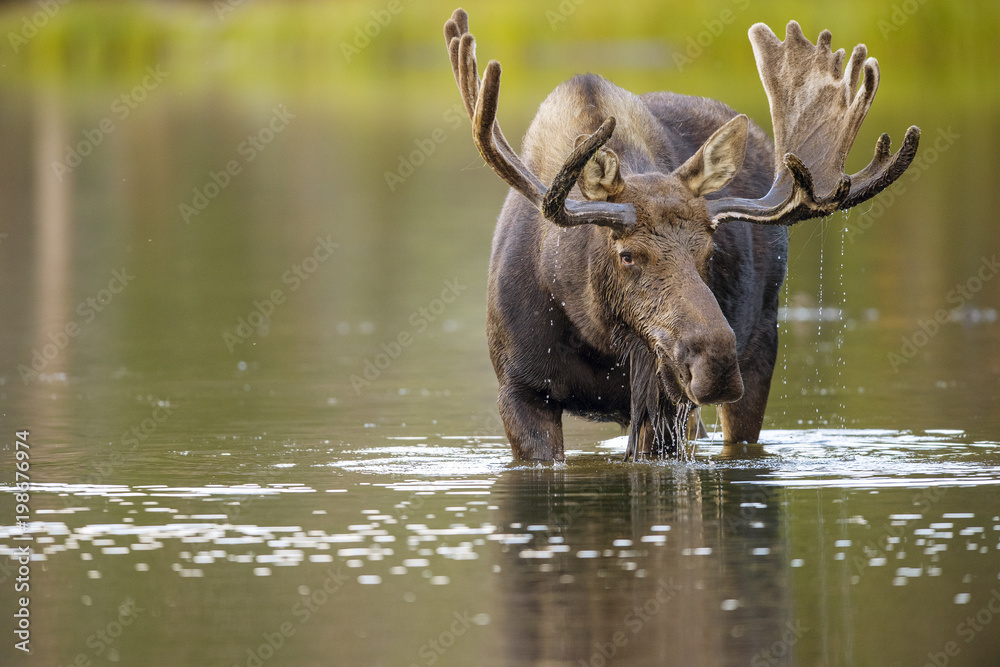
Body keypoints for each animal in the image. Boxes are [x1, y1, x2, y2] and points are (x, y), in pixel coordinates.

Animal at [443, 8, 919, 461]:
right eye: (628, 255)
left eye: (708, 251)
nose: (717, 362)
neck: (595, 335)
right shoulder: (519, 389)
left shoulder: (665, 399)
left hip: (761, 345)